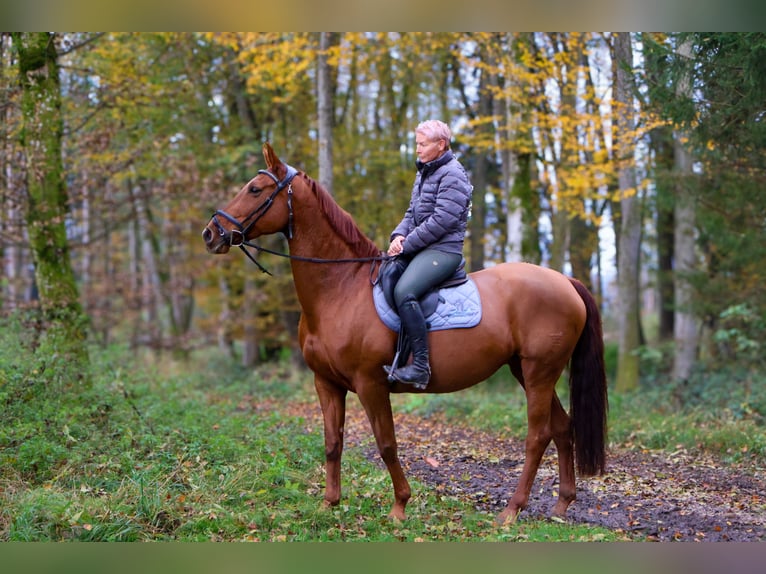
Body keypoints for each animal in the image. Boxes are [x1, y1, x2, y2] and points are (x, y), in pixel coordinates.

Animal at [201, 142, 608, 524]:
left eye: (255, 189)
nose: (211, 233)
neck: (341, 289)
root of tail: (566, 282)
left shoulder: (370, 383)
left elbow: (386, 444)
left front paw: (399, 506)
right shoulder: (326, 383)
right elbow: (333, 442)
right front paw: (329, 504)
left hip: (539, 372)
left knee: (537, 436)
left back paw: (511, 510)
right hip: (525, 370)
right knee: (562, 427)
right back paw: (561, 505)